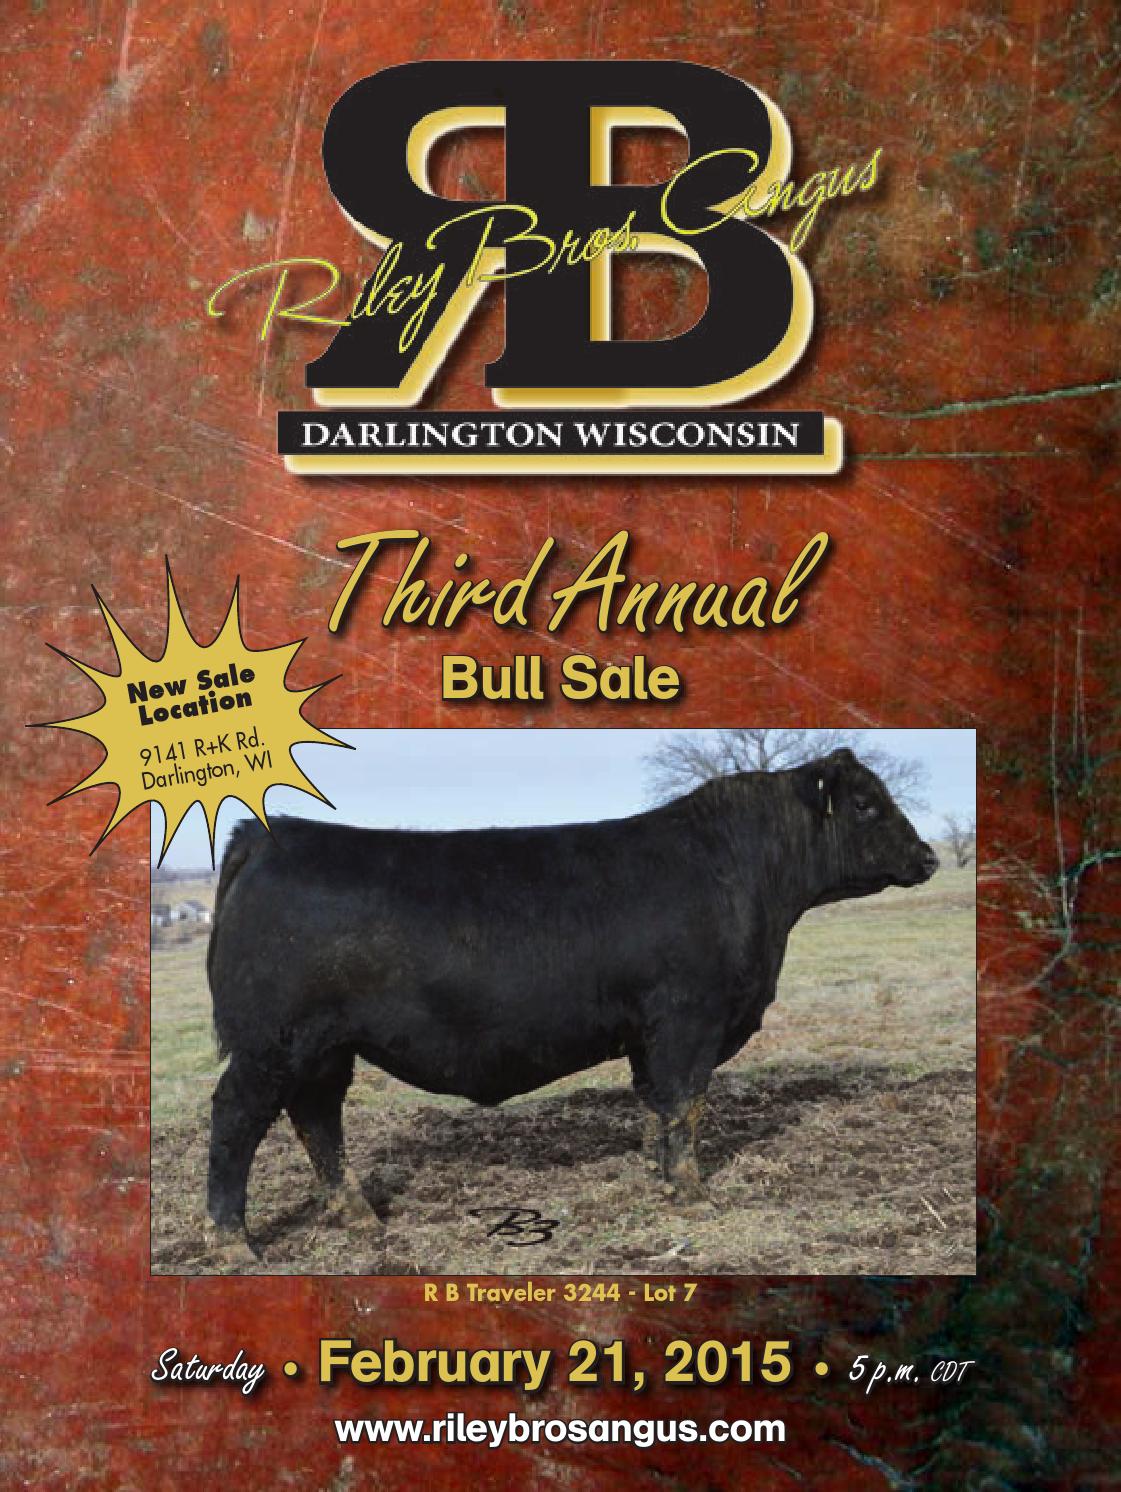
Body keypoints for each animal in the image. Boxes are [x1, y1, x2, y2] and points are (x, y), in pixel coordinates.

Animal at [204, 747, 938, 1259]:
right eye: (866, 805)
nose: (929, 857)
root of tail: (268, 836)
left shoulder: (650, 1033)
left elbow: (655, 1105)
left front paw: (657, 1176)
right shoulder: (688, 1021)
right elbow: (685, 1104)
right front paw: (693, 1194)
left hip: (325, 1050)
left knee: (317, 1120)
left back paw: (357, 1215)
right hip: (270, 1044)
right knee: (237, 1120)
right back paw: (233, 1241)